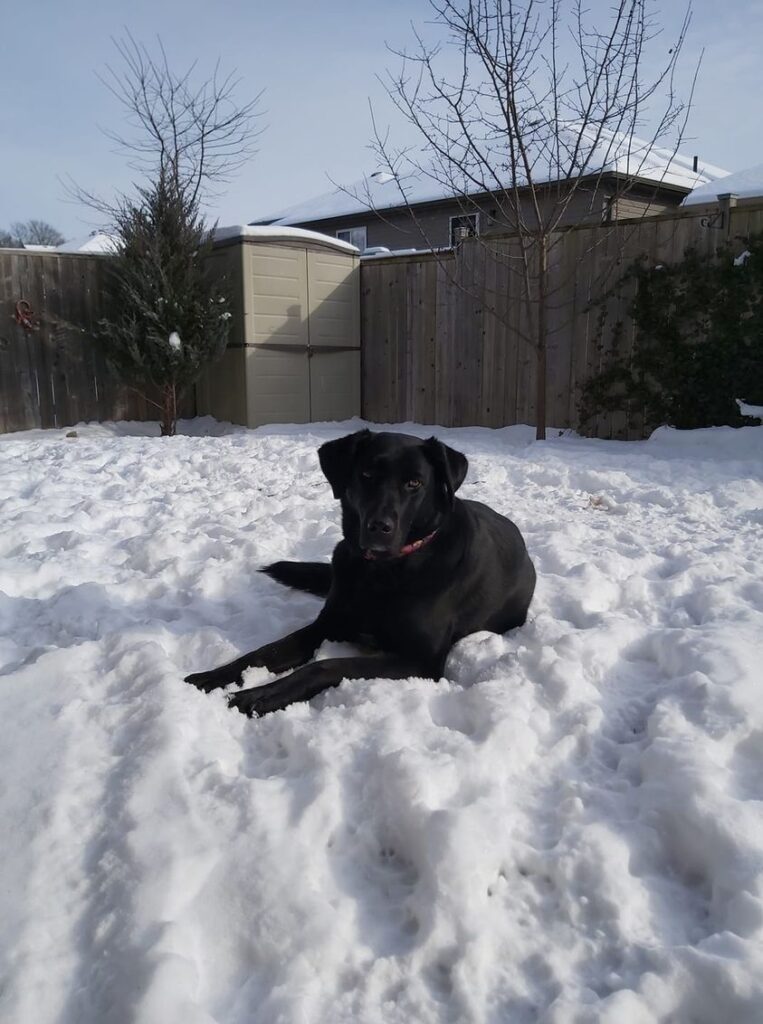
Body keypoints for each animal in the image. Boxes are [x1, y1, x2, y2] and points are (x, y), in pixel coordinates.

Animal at [183, 432, 536, 720]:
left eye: (414, 483)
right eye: (367, 474)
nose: (379, 526)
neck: (381, 571)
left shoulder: (421, 661)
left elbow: (325, 665)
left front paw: (261, 695)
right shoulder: (327, 625)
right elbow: (264, 652)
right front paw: (214, 677)